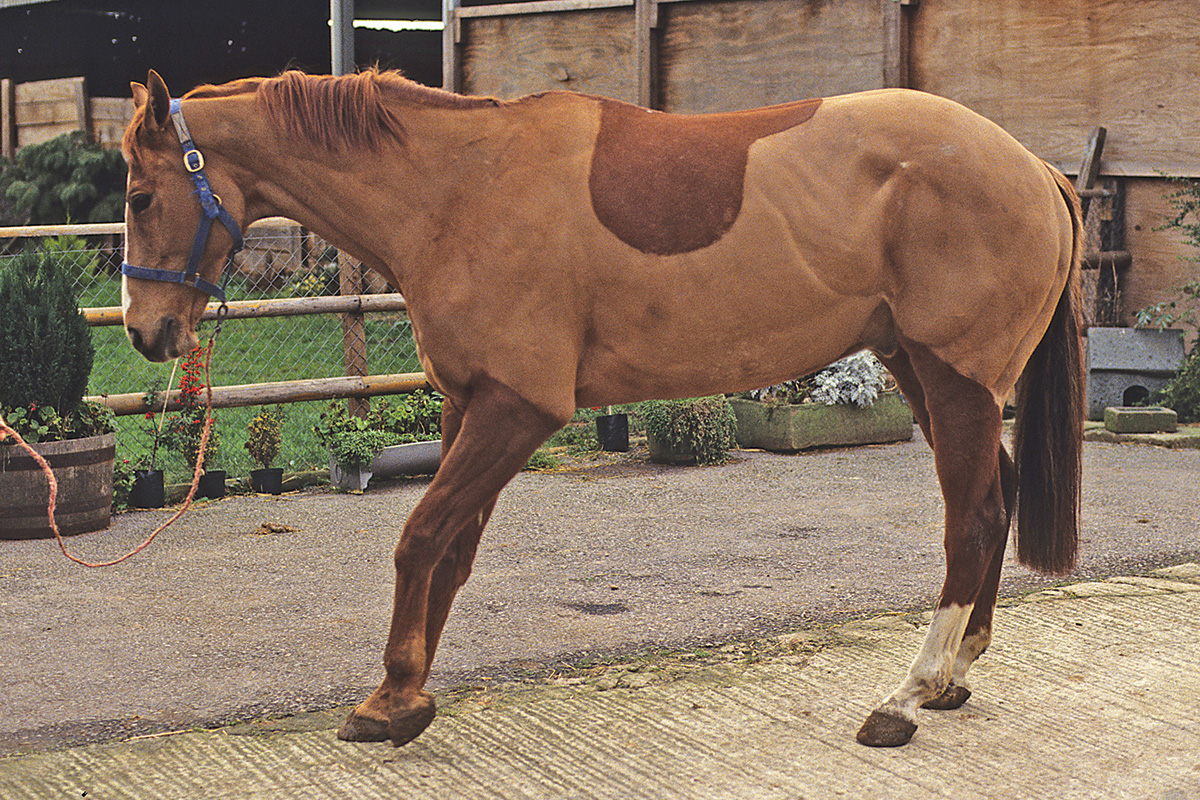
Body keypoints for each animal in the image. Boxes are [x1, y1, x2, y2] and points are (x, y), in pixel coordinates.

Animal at [117, 68, 1084, 753]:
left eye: (137, 196)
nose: (143, 332)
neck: (460, 188)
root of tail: (1036, 169)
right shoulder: (467, 405)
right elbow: (451, 553)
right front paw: (408, 691)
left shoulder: (516, 409)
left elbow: (420, 539)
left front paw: (390, 699)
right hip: (920, 369)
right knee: (991, 498)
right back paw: (953, 676)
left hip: (954, 379)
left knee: (973, 519)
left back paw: (906, 697)